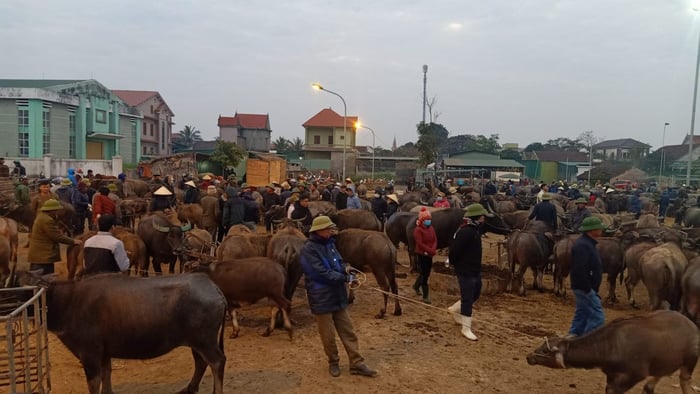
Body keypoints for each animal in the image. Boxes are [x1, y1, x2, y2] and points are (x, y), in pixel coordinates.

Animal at [528, 310, 696, 394]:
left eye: (545, 350)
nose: (529, 357)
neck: (613, 345)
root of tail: (692, 326)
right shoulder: (611, 375)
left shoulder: (635, 375)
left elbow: (613, 390)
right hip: (665, 362)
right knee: (656, 379)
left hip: (690, 362)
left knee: (684, 381)